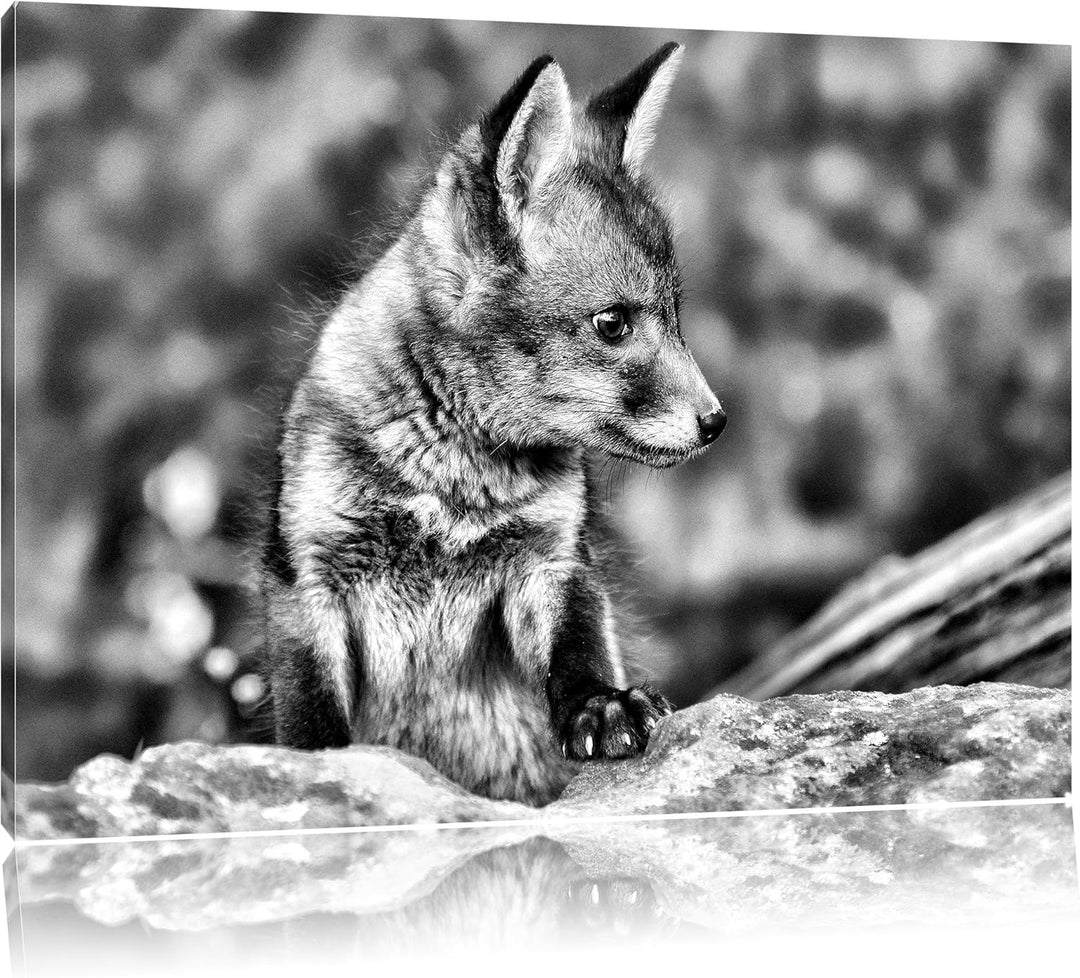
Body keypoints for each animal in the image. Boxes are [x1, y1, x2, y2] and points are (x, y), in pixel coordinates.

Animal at [261, 42, 726, 806]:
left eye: (675, 318)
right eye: (613, 323)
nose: (716, 421)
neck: (451, 485)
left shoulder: (554, 561)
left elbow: (578, 653)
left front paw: (602, 706)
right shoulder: (307, 579)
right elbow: (311, 724)